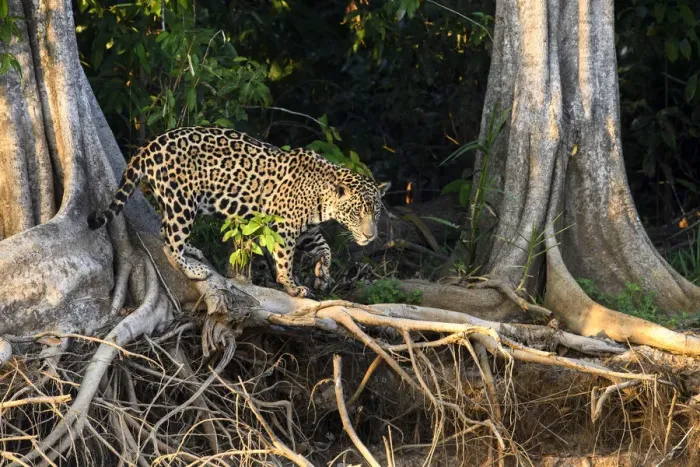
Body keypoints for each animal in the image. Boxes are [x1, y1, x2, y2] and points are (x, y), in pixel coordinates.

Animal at [88, 126, 390, 297]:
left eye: (375, 214)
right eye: (356, 213)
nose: (370, 236)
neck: (322, 196)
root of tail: (150, 145)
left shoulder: (308, 231)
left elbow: (325, 249)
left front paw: (322, 274)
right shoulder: (285, 227)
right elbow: (284, 259)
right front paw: (291, 286)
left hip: (176, 201)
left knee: (166, 231)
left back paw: (193, 250)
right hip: (182, 201)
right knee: (169, 243)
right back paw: (194, 270)